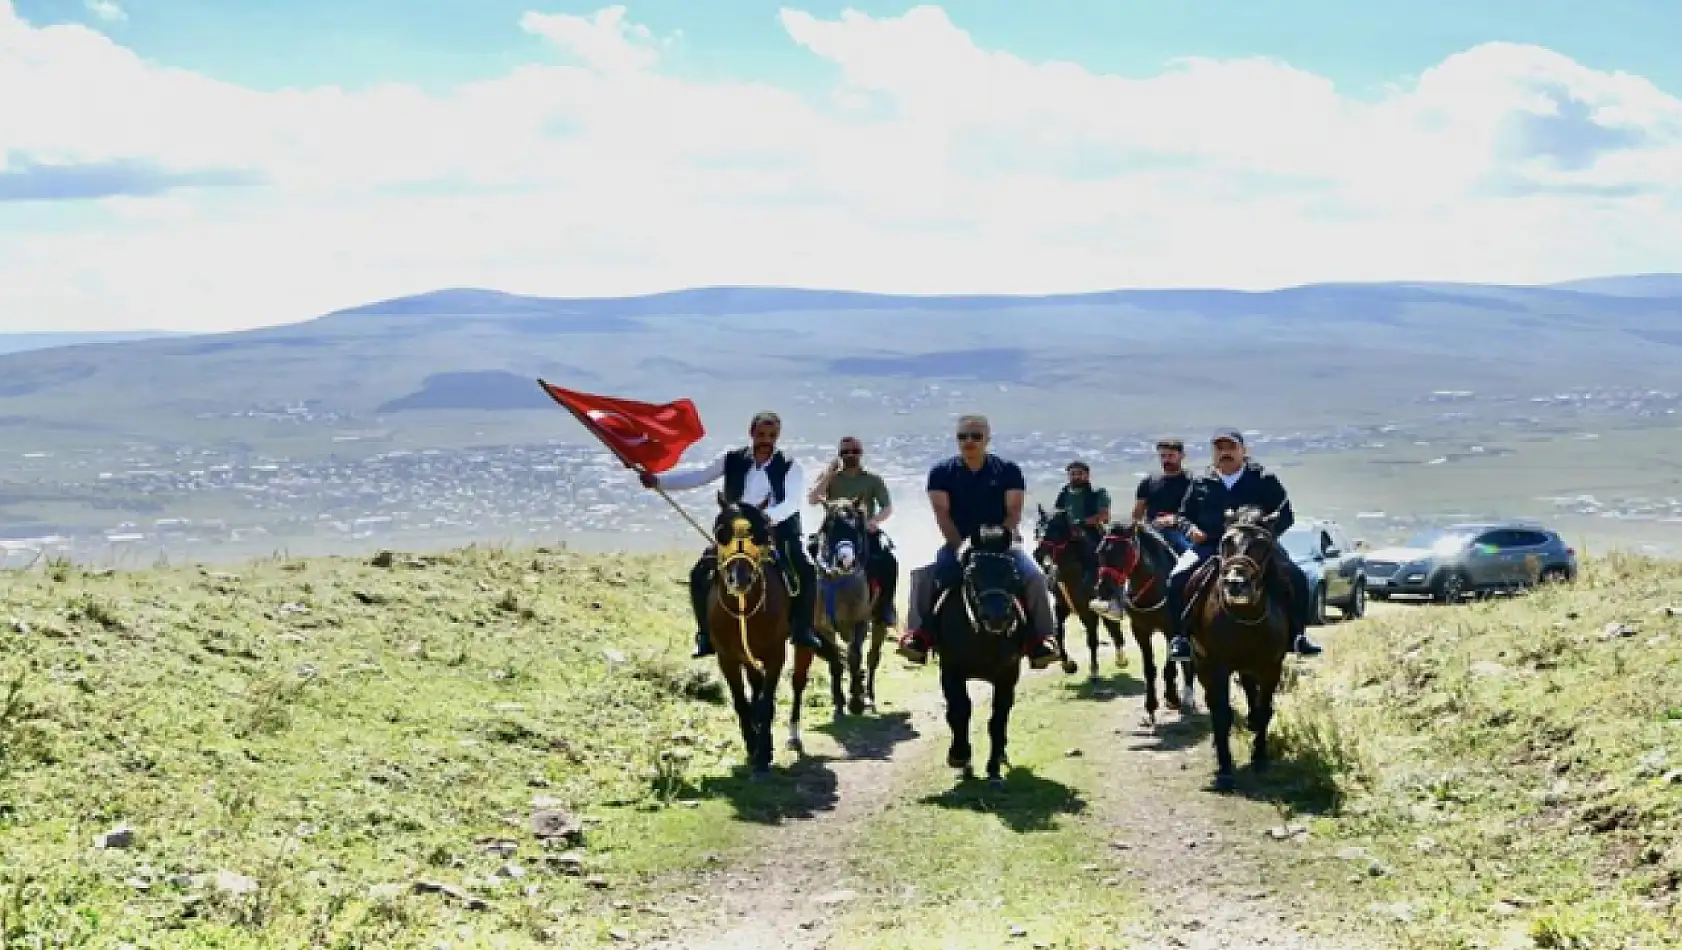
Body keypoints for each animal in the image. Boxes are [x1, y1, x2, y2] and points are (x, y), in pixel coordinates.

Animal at [703, 501, 793, 773]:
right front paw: (753, 747)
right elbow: (742, 703)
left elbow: (765, 705)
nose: (739, 579)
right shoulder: (728, 659)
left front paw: (762, 757)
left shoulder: (776, 655)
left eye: (760, 534)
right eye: (720, 531)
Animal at [928, 521, 1029, 780]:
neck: (983, 635)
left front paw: (993, 768)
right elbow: (959, 710)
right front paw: (959, 755)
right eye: (972, 574)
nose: (996, 617)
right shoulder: (950, 671)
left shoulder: (1007, 675)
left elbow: (998, 718)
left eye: (1012, 574)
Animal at [1029, 501, 1123, 679]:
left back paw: (1120, 658)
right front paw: (1068, 665)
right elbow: (1058, 632)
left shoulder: (1088, 611)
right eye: (1037, 528)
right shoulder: (1061, 606)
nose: (1038, 554)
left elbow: (1092, 638)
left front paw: (1093, 670)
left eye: (1055, 529)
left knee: (1111, 627)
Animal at [1089, 514, 1197, 723]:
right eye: (1099, 551)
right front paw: (1151, 706)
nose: (1104, 589)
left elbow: (1169, 666)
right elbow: (1149, 668)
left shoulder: (1171, 630)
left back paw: (1188, 695)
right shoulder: (1140, 630)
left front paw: (1172, 698)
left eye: (1126, 552)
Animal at [1190, 507, 1291, 790]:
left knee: (1249, 691)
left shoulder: (1271, 667)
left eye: (1263, 544)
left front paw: (1260, 758)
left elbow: (1264, 710)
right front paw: (1225, 768)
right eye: (1226, 542)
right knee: (1214, 703)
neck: (1244, 618)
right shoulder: (1216, 668)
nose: (1236, 583)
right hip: (1201, 664)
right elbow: (1221, 714)